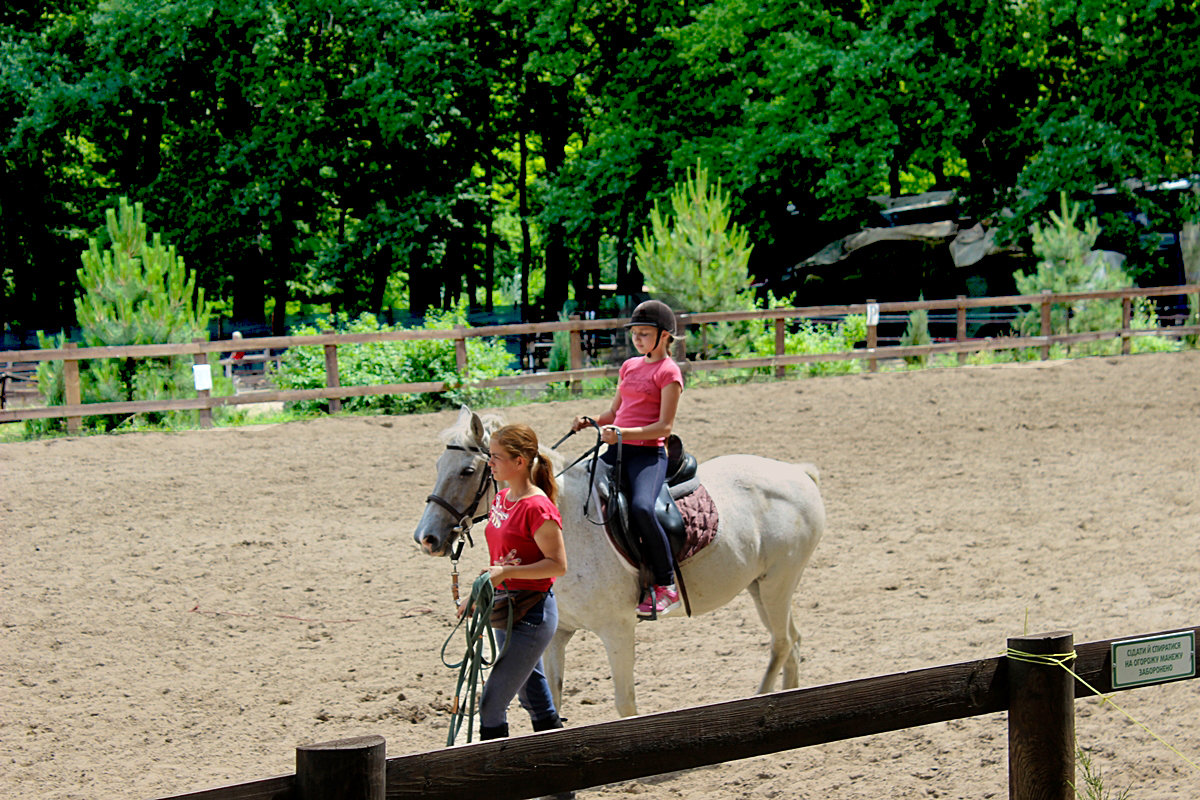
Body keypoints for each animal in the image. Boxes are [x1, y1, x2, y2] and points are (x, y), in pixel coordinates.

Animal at [415, 410, 825, 714]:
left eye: (467, 471)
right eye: (437, 465)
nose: (426, 537)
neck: (569, 524)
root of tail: (798, 473)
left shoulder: (618, 630)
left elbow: (625, 705)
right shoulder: (557, 634)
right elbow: (555, 699)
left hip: (777, 585)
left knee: (782, 643)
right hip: (762, 587)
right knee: (793, 641)